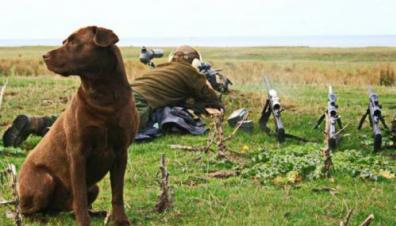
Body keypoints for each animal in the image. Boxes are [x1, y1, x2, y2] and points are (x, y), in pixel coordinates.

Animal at [17, 25, 139, 225]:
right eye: (65, 41)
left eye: (74, 42)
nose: (44, 55)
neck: (103, 99)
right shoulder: (77, 153)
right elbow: (80, 196)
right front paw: (84, 221)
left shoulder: (121, 152)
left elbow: (117, 193)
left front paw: (120, 219)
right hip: (45, 179)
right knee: (27, 210)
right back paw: (40, 218)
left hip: (94, 187)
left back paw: (94, 213)